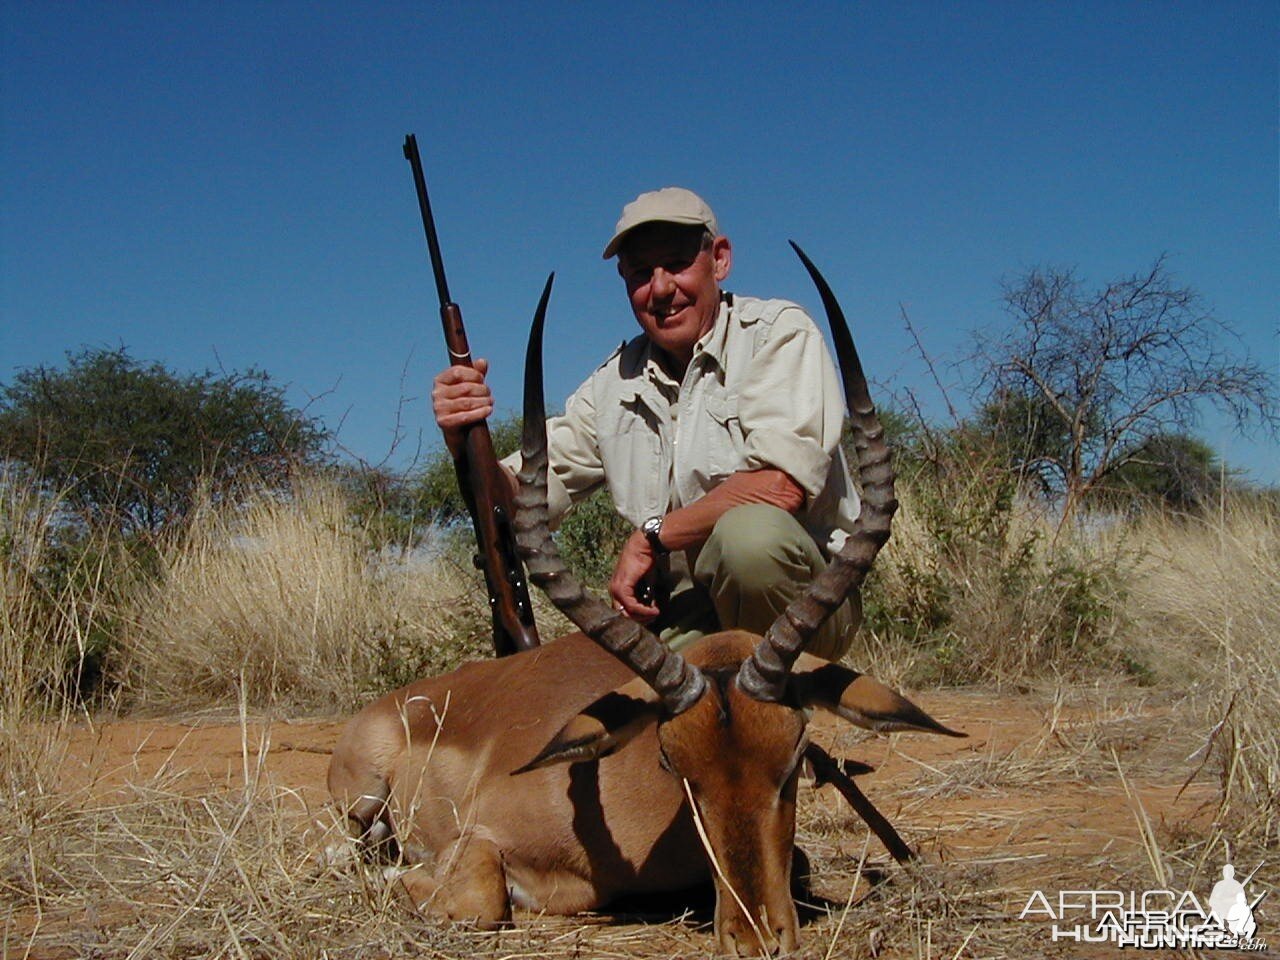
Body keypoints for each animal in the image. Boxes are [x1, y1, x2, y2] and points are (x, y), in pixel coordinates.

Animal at [325, 245, 962, 957]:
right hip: (358, 802)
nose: (758, 938)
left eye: (797, 755)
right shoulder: (478, 844)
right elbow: (481, 896)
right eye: (670, 760)